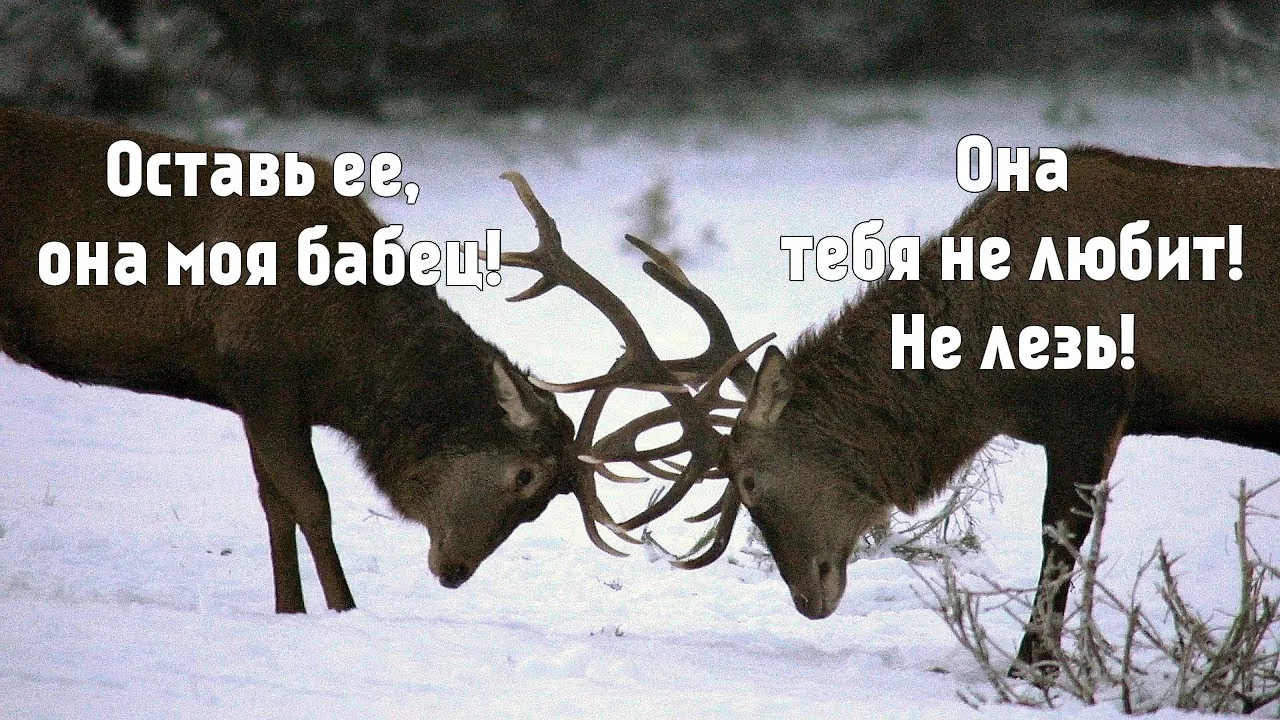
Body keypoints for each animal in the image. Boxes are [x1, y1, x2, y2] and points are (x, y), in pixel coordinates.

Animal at [0, 107, 646, 614]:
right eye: (525, 475)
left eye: (545, 501)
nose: (454, 572)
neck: (344, 366)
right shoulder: (262, 377)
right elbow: (311, 503)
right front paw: (342, 608)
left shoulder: (260, 400)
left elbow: (274, 504)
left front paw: (289, 610)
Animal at [696, 147, 1279, 672]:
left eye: (747, 481)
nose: (805, 599)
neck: (990, 381)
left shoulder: (1092, 406)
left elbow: (1059, 535)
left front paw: (1034, 665)